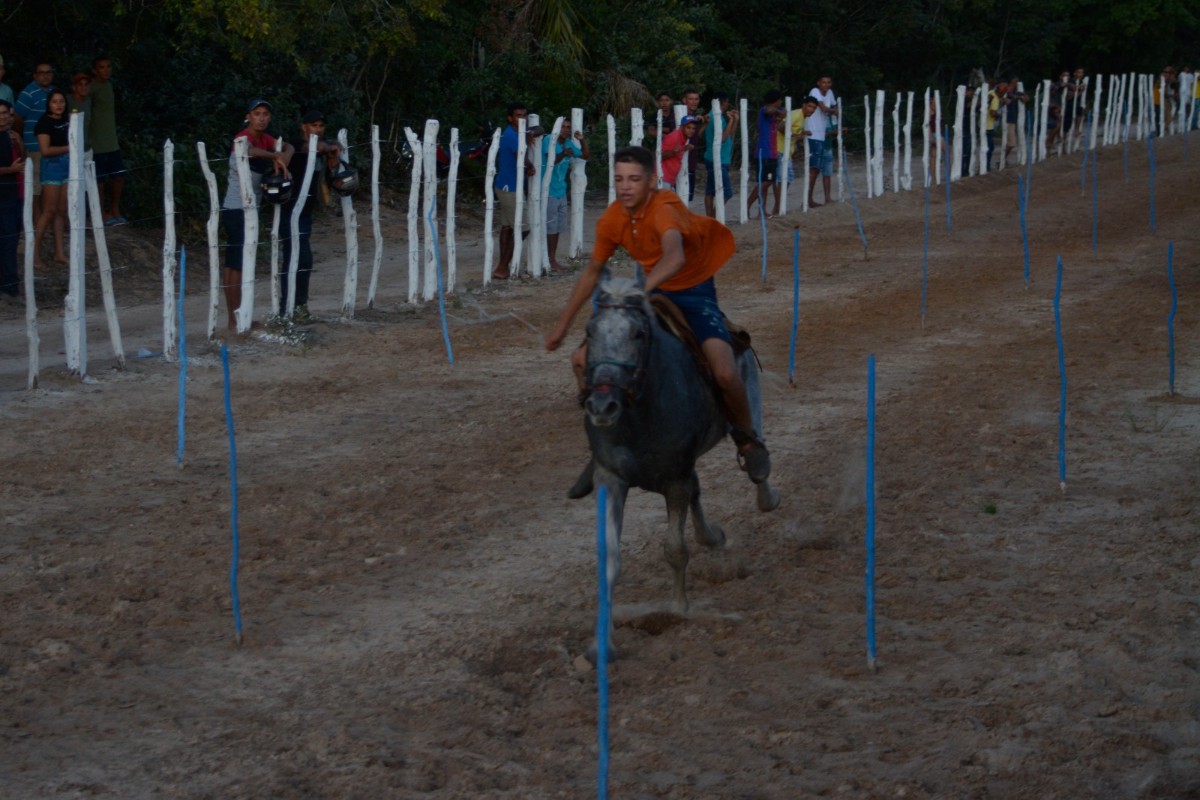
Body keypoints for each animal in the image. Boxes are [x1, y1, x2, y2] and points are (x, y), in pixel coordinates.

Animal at [580, 266, 777, 662]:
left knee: (756, 448)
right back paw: (710, 535)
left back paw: (765, 491)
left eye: (638, 333)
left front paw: (679, 608)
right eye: (590, 332)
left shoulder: (674, 478)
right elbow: (610, 561)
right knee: (698, 493)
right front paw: (602, 645)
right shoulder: (611, 478)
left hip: (747, 394)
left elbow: (675, 550)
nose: (602, 406)